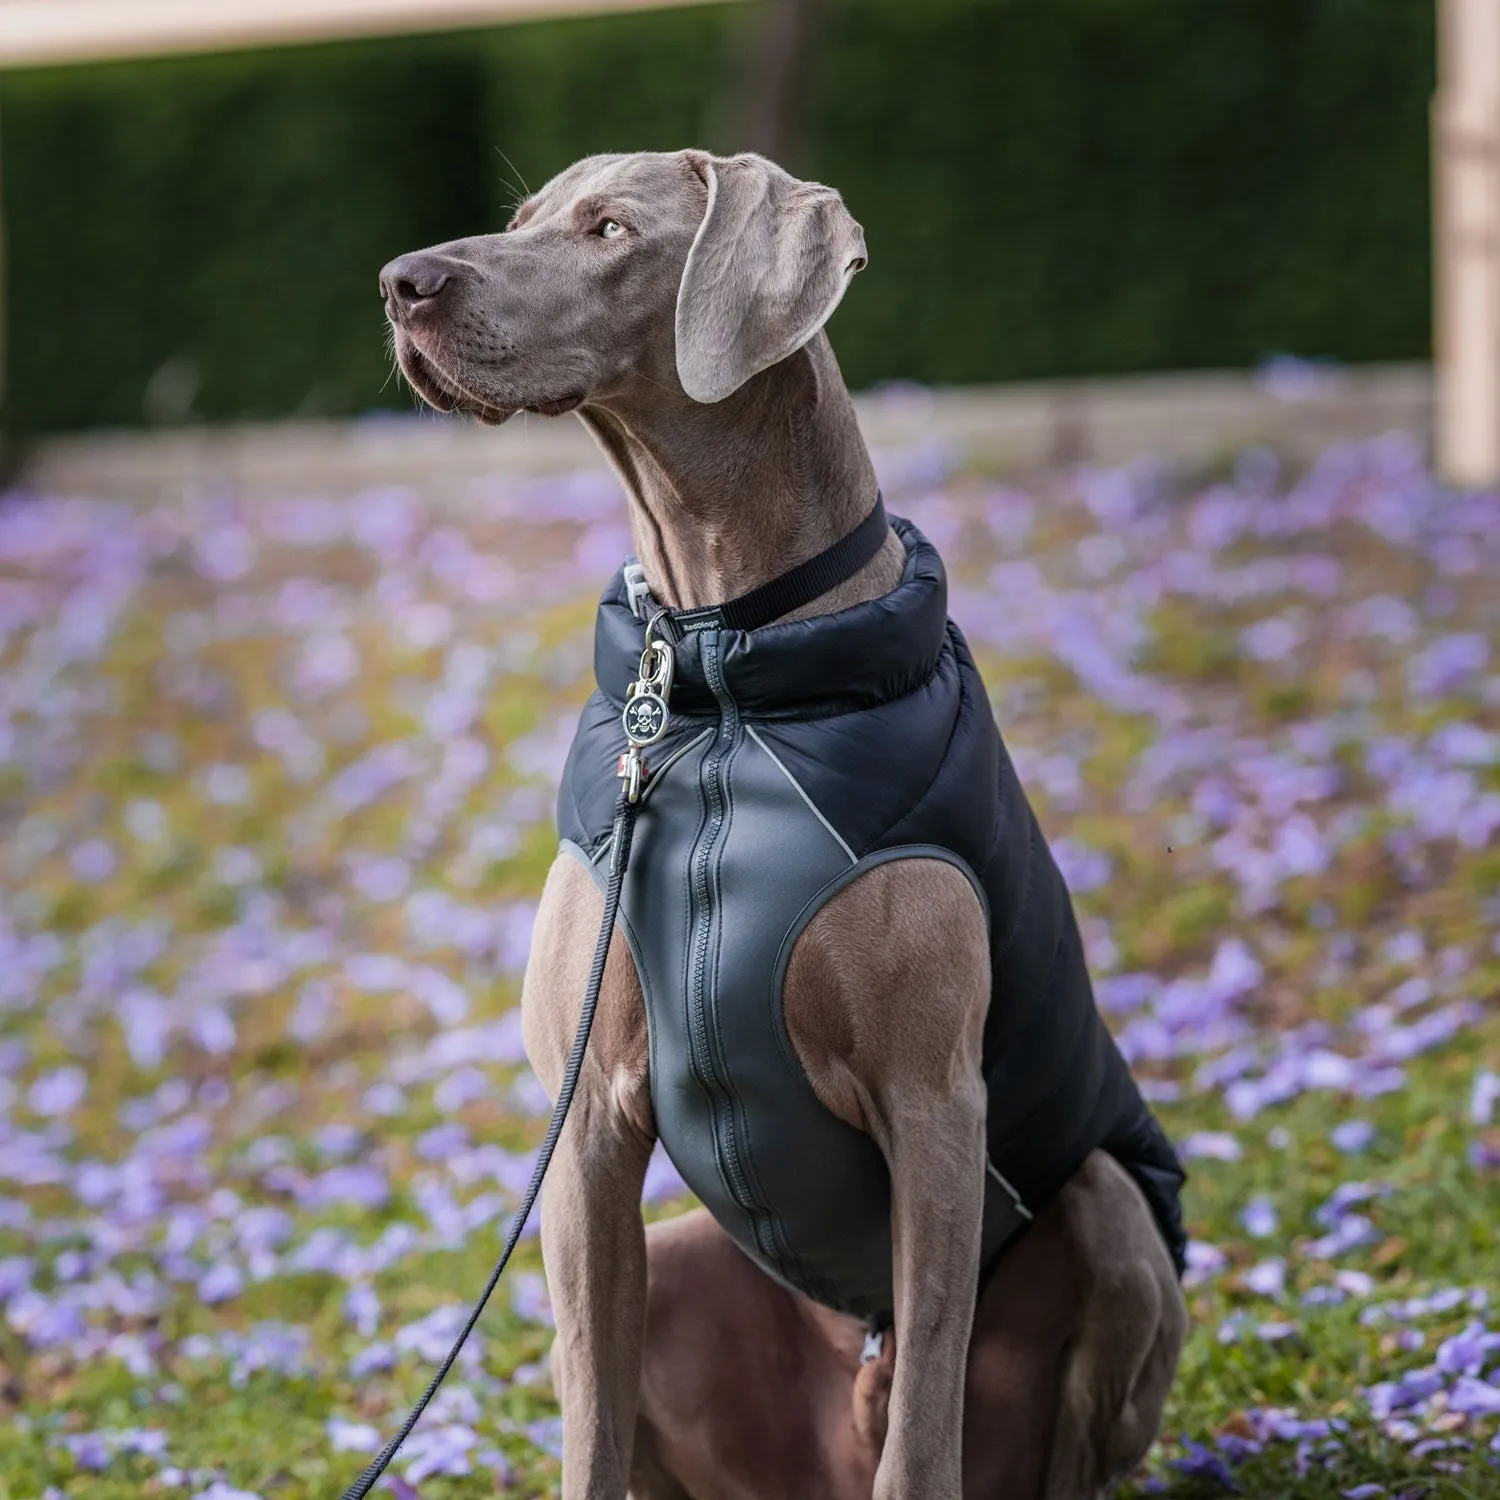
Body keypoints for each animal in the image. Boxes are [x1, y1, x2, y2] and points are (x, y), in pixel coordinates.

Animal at [381, 149, 1188, 1500]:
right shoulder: (587, 1131)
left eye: (610, 230)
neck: (718, 672)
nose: (401, 281)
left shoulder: (935, 1104)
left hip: (1109, 1208)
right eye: (522, 218)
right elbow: (588, 1430)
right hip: (682, 1261)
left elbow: (924, 1423)